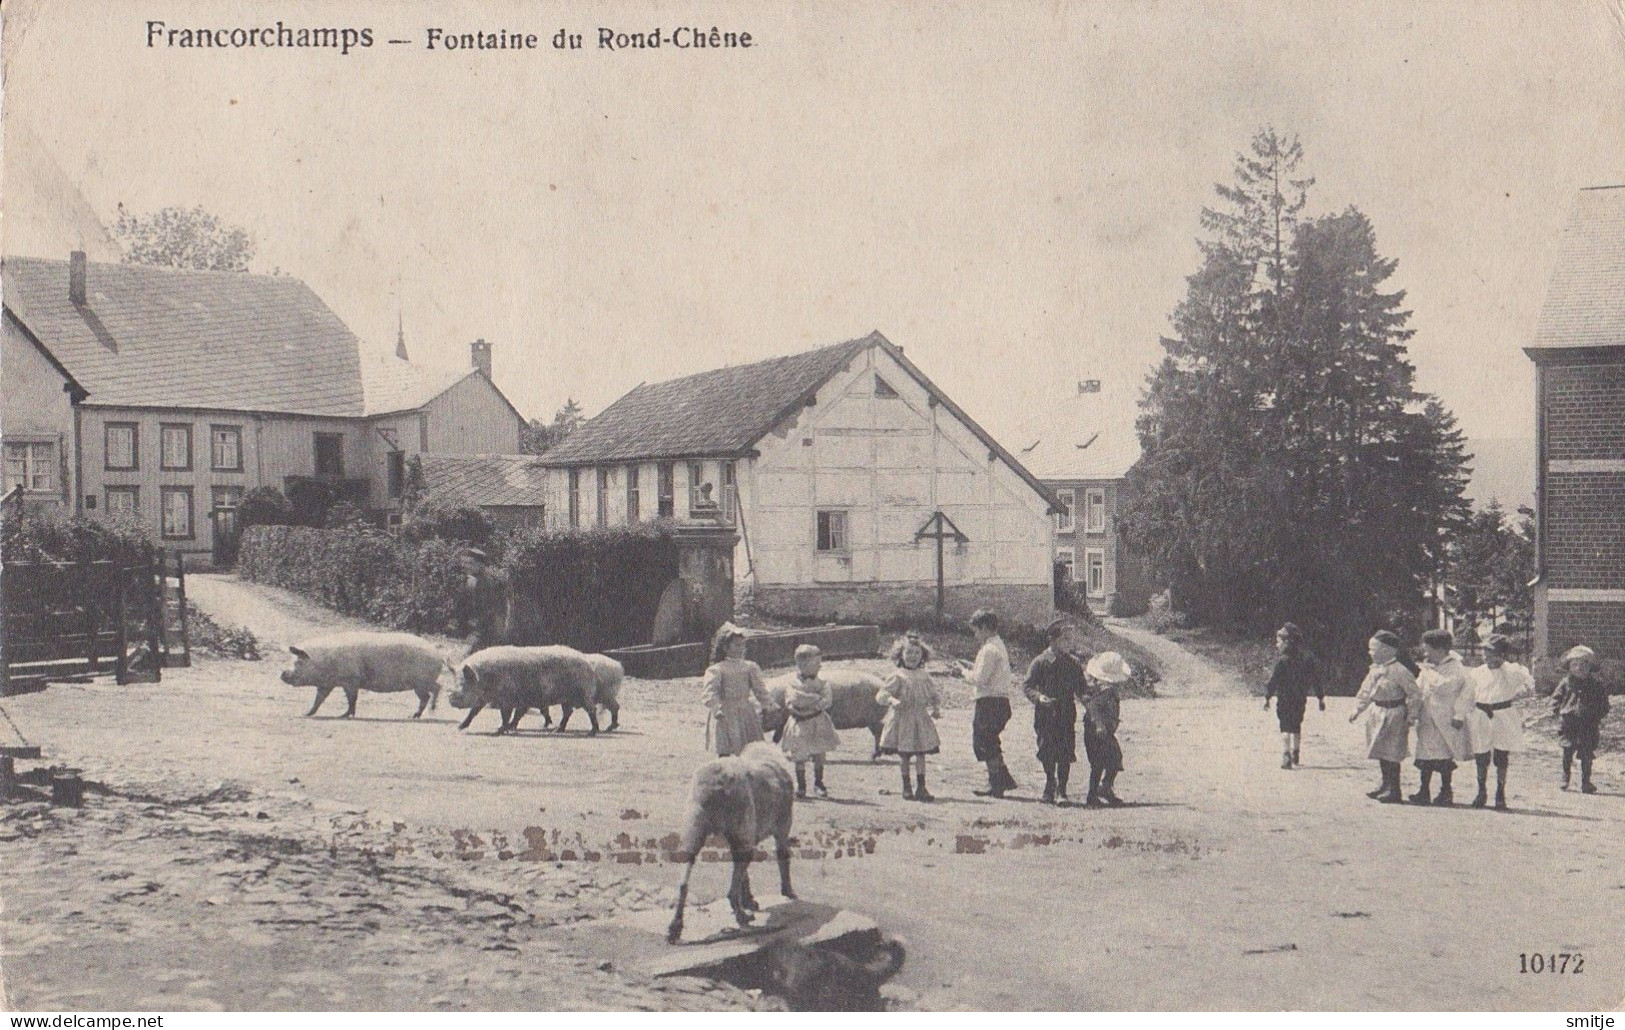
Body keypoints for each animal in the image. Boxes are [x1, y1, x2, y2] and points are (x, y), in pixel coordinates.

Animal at [276, 627, 448, 714]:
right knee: (433, 690)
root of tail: (439, 654)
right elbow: (318, 699)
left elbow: (352, 699)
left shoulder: (351, 679)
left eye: (298, 662)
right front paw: (306, 713)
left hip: (421, 681)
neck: (323, 661)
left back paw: (422, 713)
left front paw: (344, 715)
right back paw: (418, 714)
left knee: (434, 690)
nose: (282, 673)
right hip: (421, 682)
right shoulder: (326, 684)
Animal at [455, 636, 601, 734]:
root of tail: (589, 664)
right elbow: (474, 711)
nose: (452, 698)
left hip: (583, 693)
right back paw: (557, 730)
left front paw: (499, 730)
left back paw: (592, 732)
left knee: (591, 710)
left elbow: (506, 714)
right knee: (568, 712)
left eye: (465, 683)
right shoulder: (486, 698)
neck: (487, 677)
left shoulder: (506, 697)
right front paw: (459, 727)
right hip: (567, 698)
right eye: (457, 682)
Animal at [669, 737, 796, 935]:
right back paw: (742, 916)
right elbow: (783, 860)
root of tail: (716, 783)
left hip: (693, 832)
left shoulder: (742, 841)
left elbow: (744, 876)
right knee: (731, 891)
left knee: (683, 883)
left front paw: (749, 901)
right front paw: (788, 893)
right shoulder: (780, 830)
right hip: (742, 835)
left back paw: (675, 927)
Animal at [760, 662, 890, 757]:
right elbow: (776, 737)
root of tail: (882, 683)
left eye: (761, 713)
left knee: (879, 731)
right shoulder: (782, 722)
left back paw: (874, 756)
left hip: (873, 717)